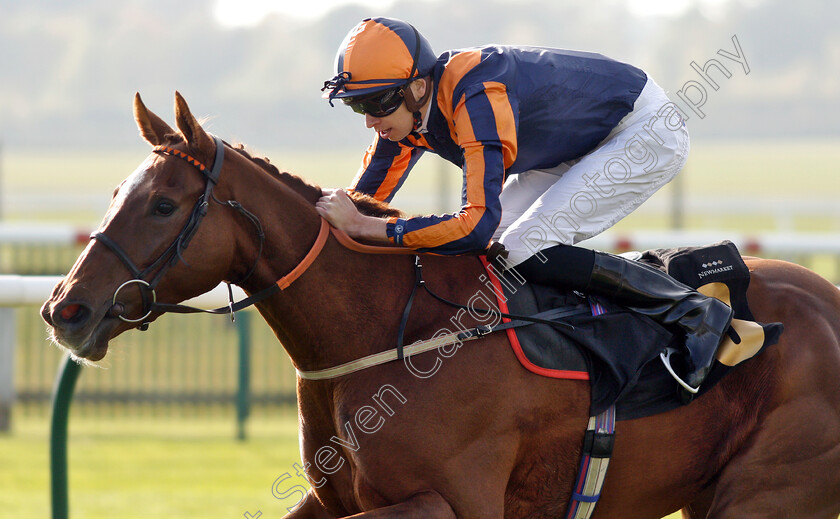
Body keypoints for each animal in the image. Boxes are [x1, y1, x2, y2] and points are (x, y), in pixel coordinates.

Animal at [44, 94, 840, 519]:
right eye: (117, 193)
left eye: (163, 203)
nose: (64, 312)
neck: (389, 332)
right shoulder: (335, 500)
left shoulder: (450, 502)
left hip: (766, 493)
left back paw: (705, 327)